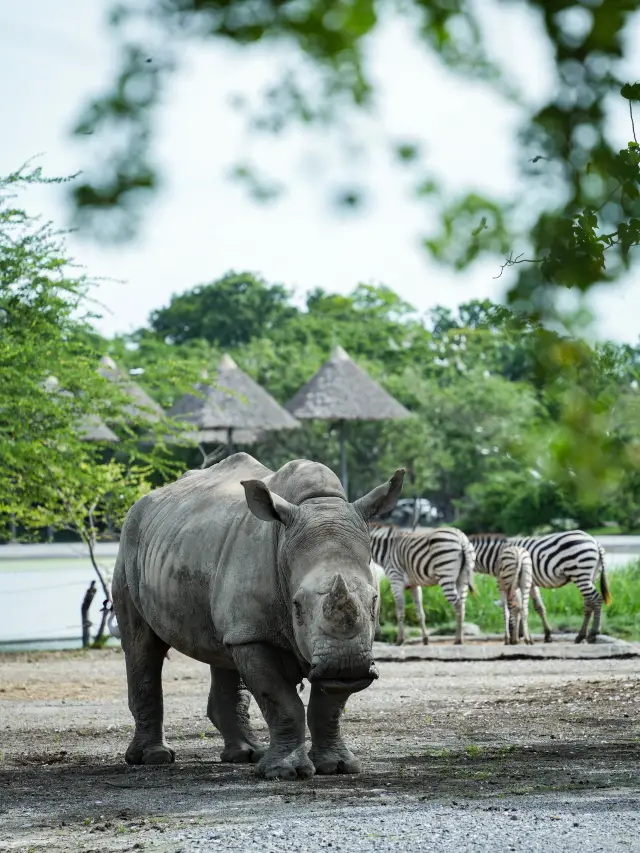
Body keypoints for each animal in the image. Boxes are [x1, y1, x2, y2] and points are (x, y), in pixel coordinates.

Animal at [470, 528, 608, 644]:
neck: (496, 556)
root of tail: (594, 541)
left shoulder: (515, 581)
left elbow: (516, 606)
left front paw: (518, 634)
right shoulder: (531, 583)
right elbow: (538, 607)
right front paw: (546, 635)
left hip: (580, 573)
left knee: (596, 599)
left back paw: (593, 633)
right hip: (590, 576)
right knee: (588, 603)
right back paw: (580, 636)